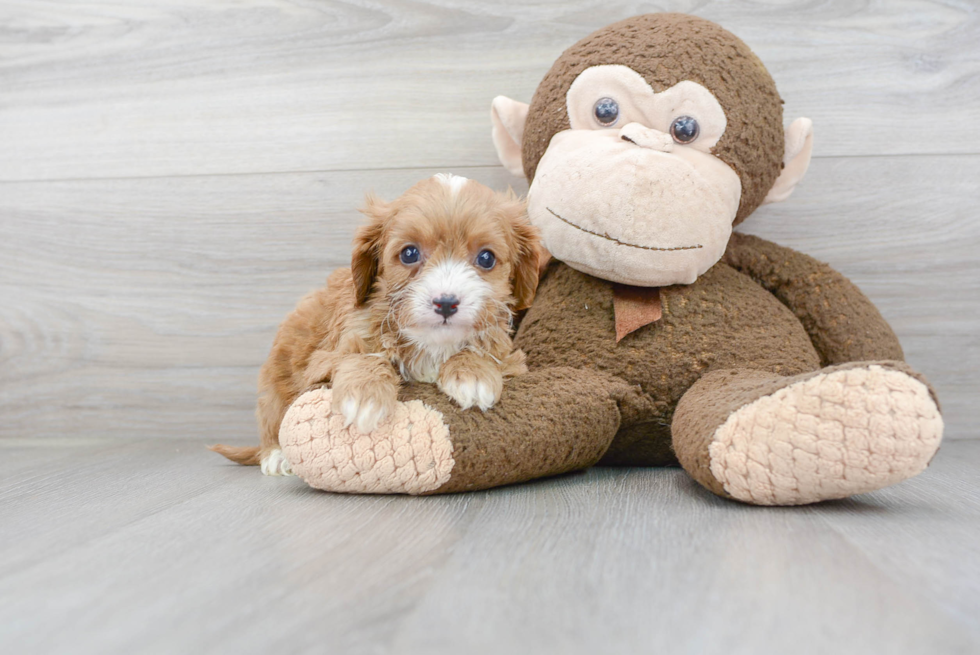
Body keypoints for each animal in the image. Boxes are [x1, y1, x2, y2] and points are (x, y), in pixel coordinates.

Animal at [210, 174, 540, 476]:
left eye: (486, 258)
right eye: (409, 253)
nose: (446, 303)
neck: (431, 343)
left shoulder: (509, 354)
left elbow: (484, 350)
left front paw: (474, 374)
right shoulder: (323, 359)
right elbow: (363, 355)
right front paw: (364, 393)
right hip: (274, 384)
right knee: (271, 420)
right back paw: (276, 457)